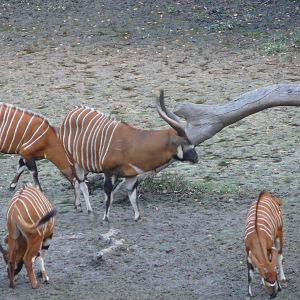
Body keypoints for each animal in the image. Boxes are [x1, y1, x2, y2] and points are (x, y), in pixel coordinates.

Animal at [59, 89, 198, 220]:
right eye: (185, 142)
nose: (196, 158)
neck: (131, 143)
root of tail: (71, 113)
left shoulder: (131, 175)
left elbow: (132, 196)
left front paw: (137, 217)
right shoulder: (108, 171)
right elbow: (108, 195)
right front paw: (105, 218)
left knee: (79, 182)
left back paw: (80, 207)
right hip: (74, 161)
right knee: (81, 183)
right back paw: (89, 211)